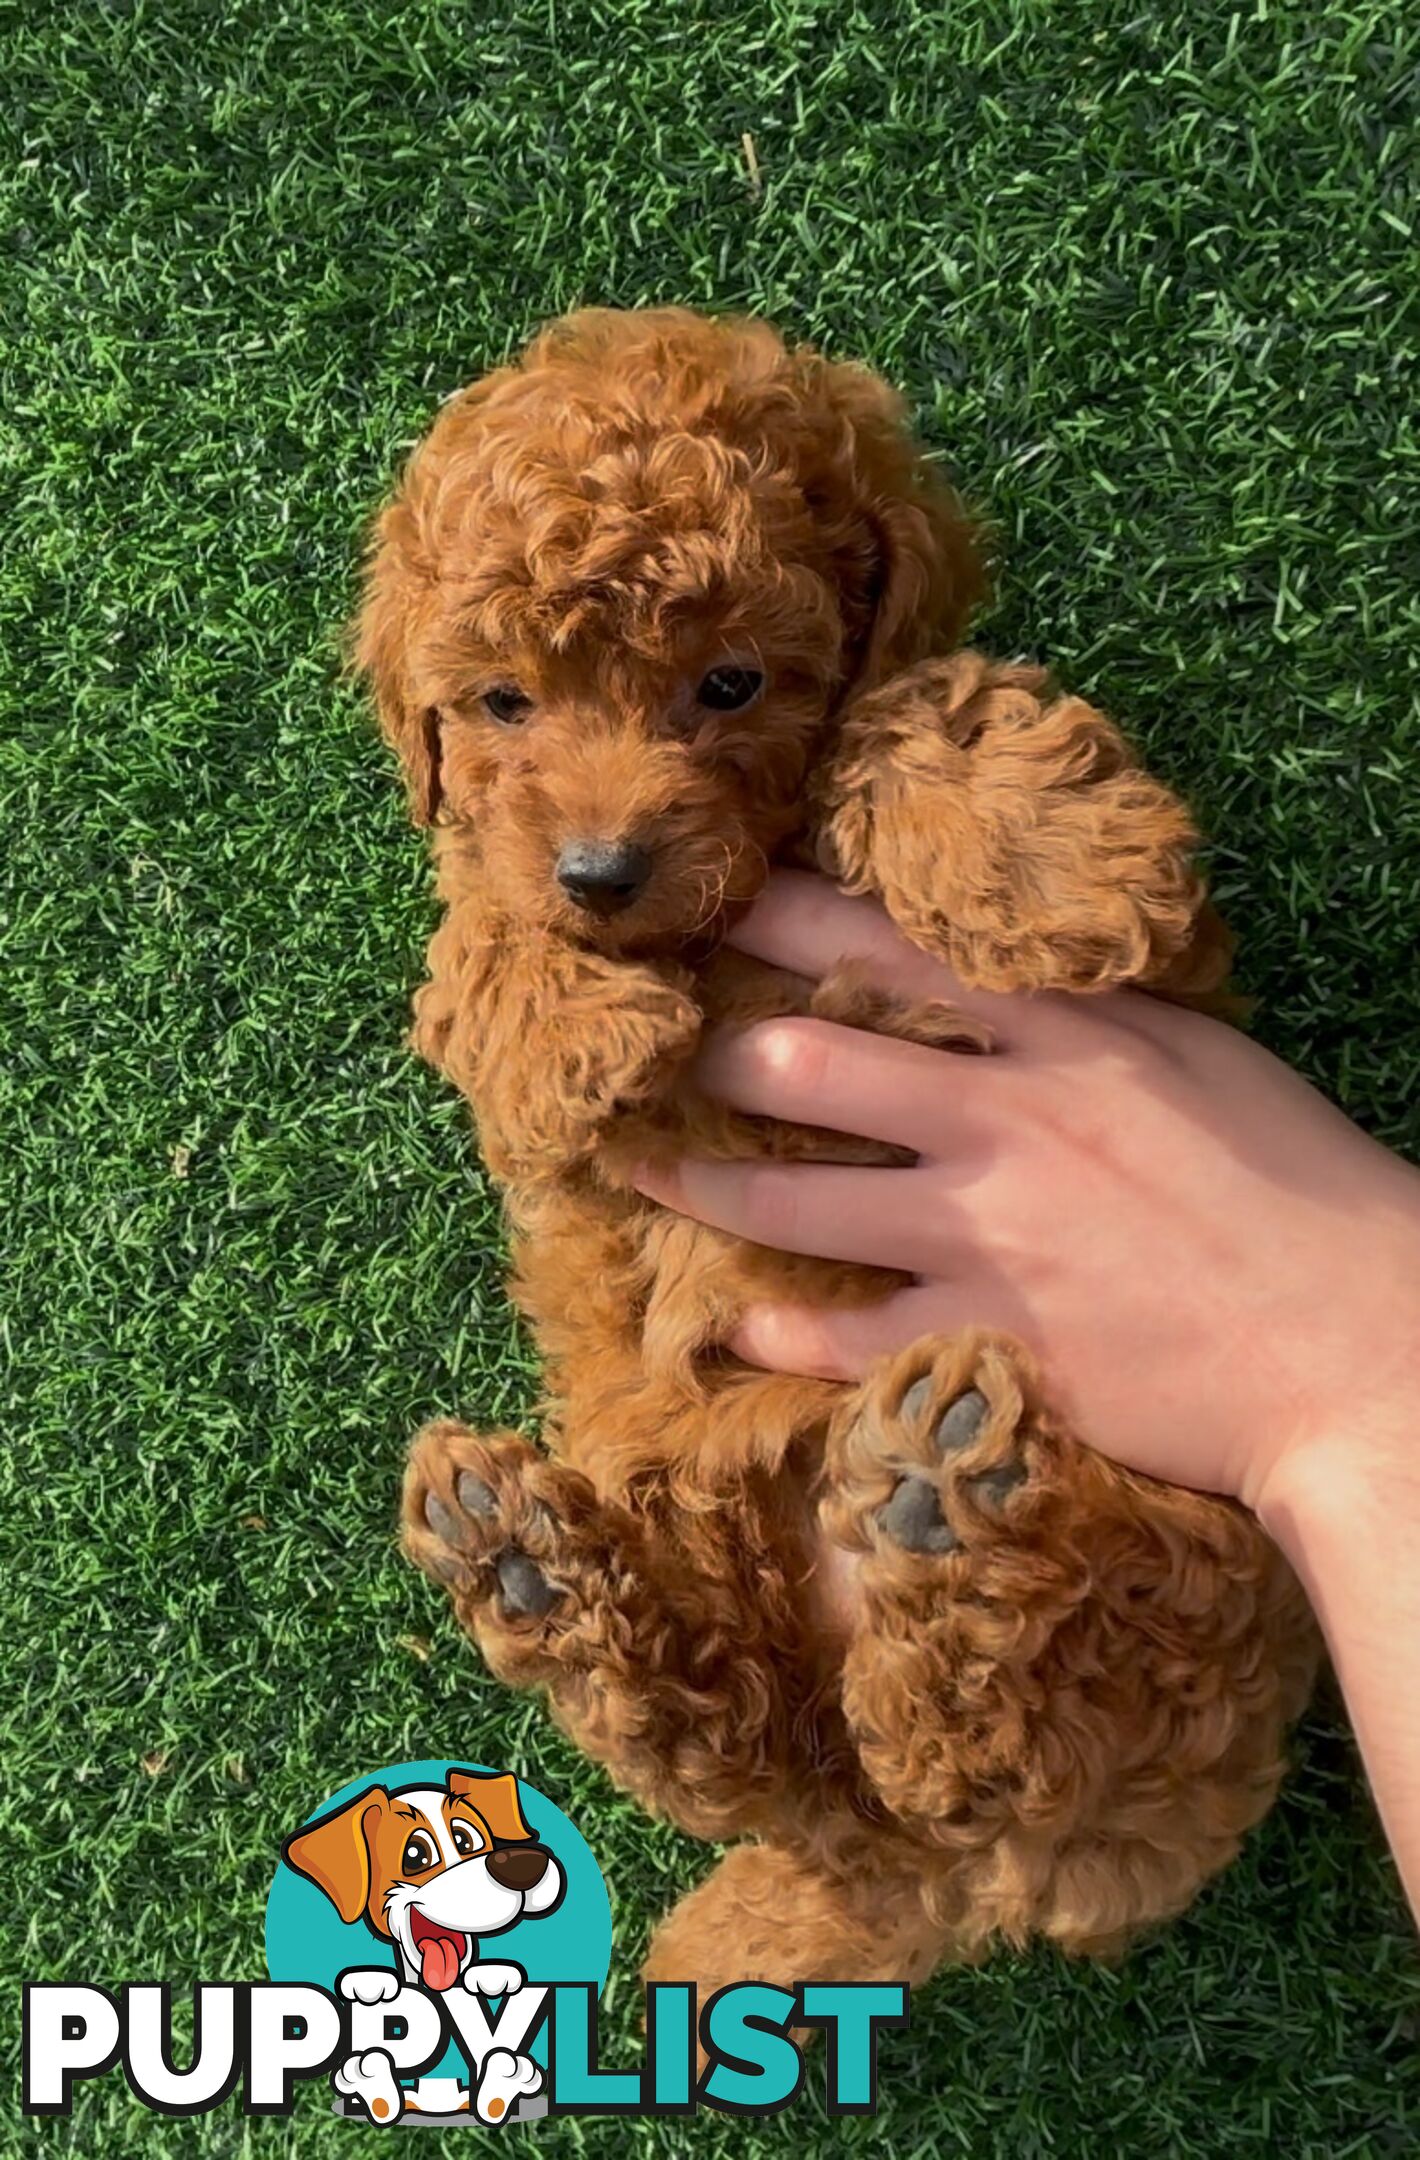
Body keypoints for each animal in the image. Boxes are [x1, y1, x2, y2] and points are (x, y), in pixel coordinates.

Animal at [354, 308, 1314, 2004]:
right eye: (502, 704)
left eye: (732, 683)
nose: (601, 870)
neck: (730, 912)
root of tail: (919, 1889)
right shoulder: (554, 1109)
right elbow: (478, 923)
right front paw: (559, 1013)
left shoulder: (1181, 976)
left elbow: (912, 707)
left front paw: (1049, 858)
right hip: (692, 1489)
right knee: (774, 1749)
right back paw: (542, 1569)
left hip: (1196, 1565)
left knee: (977, 1735)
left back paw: (941, 1514)